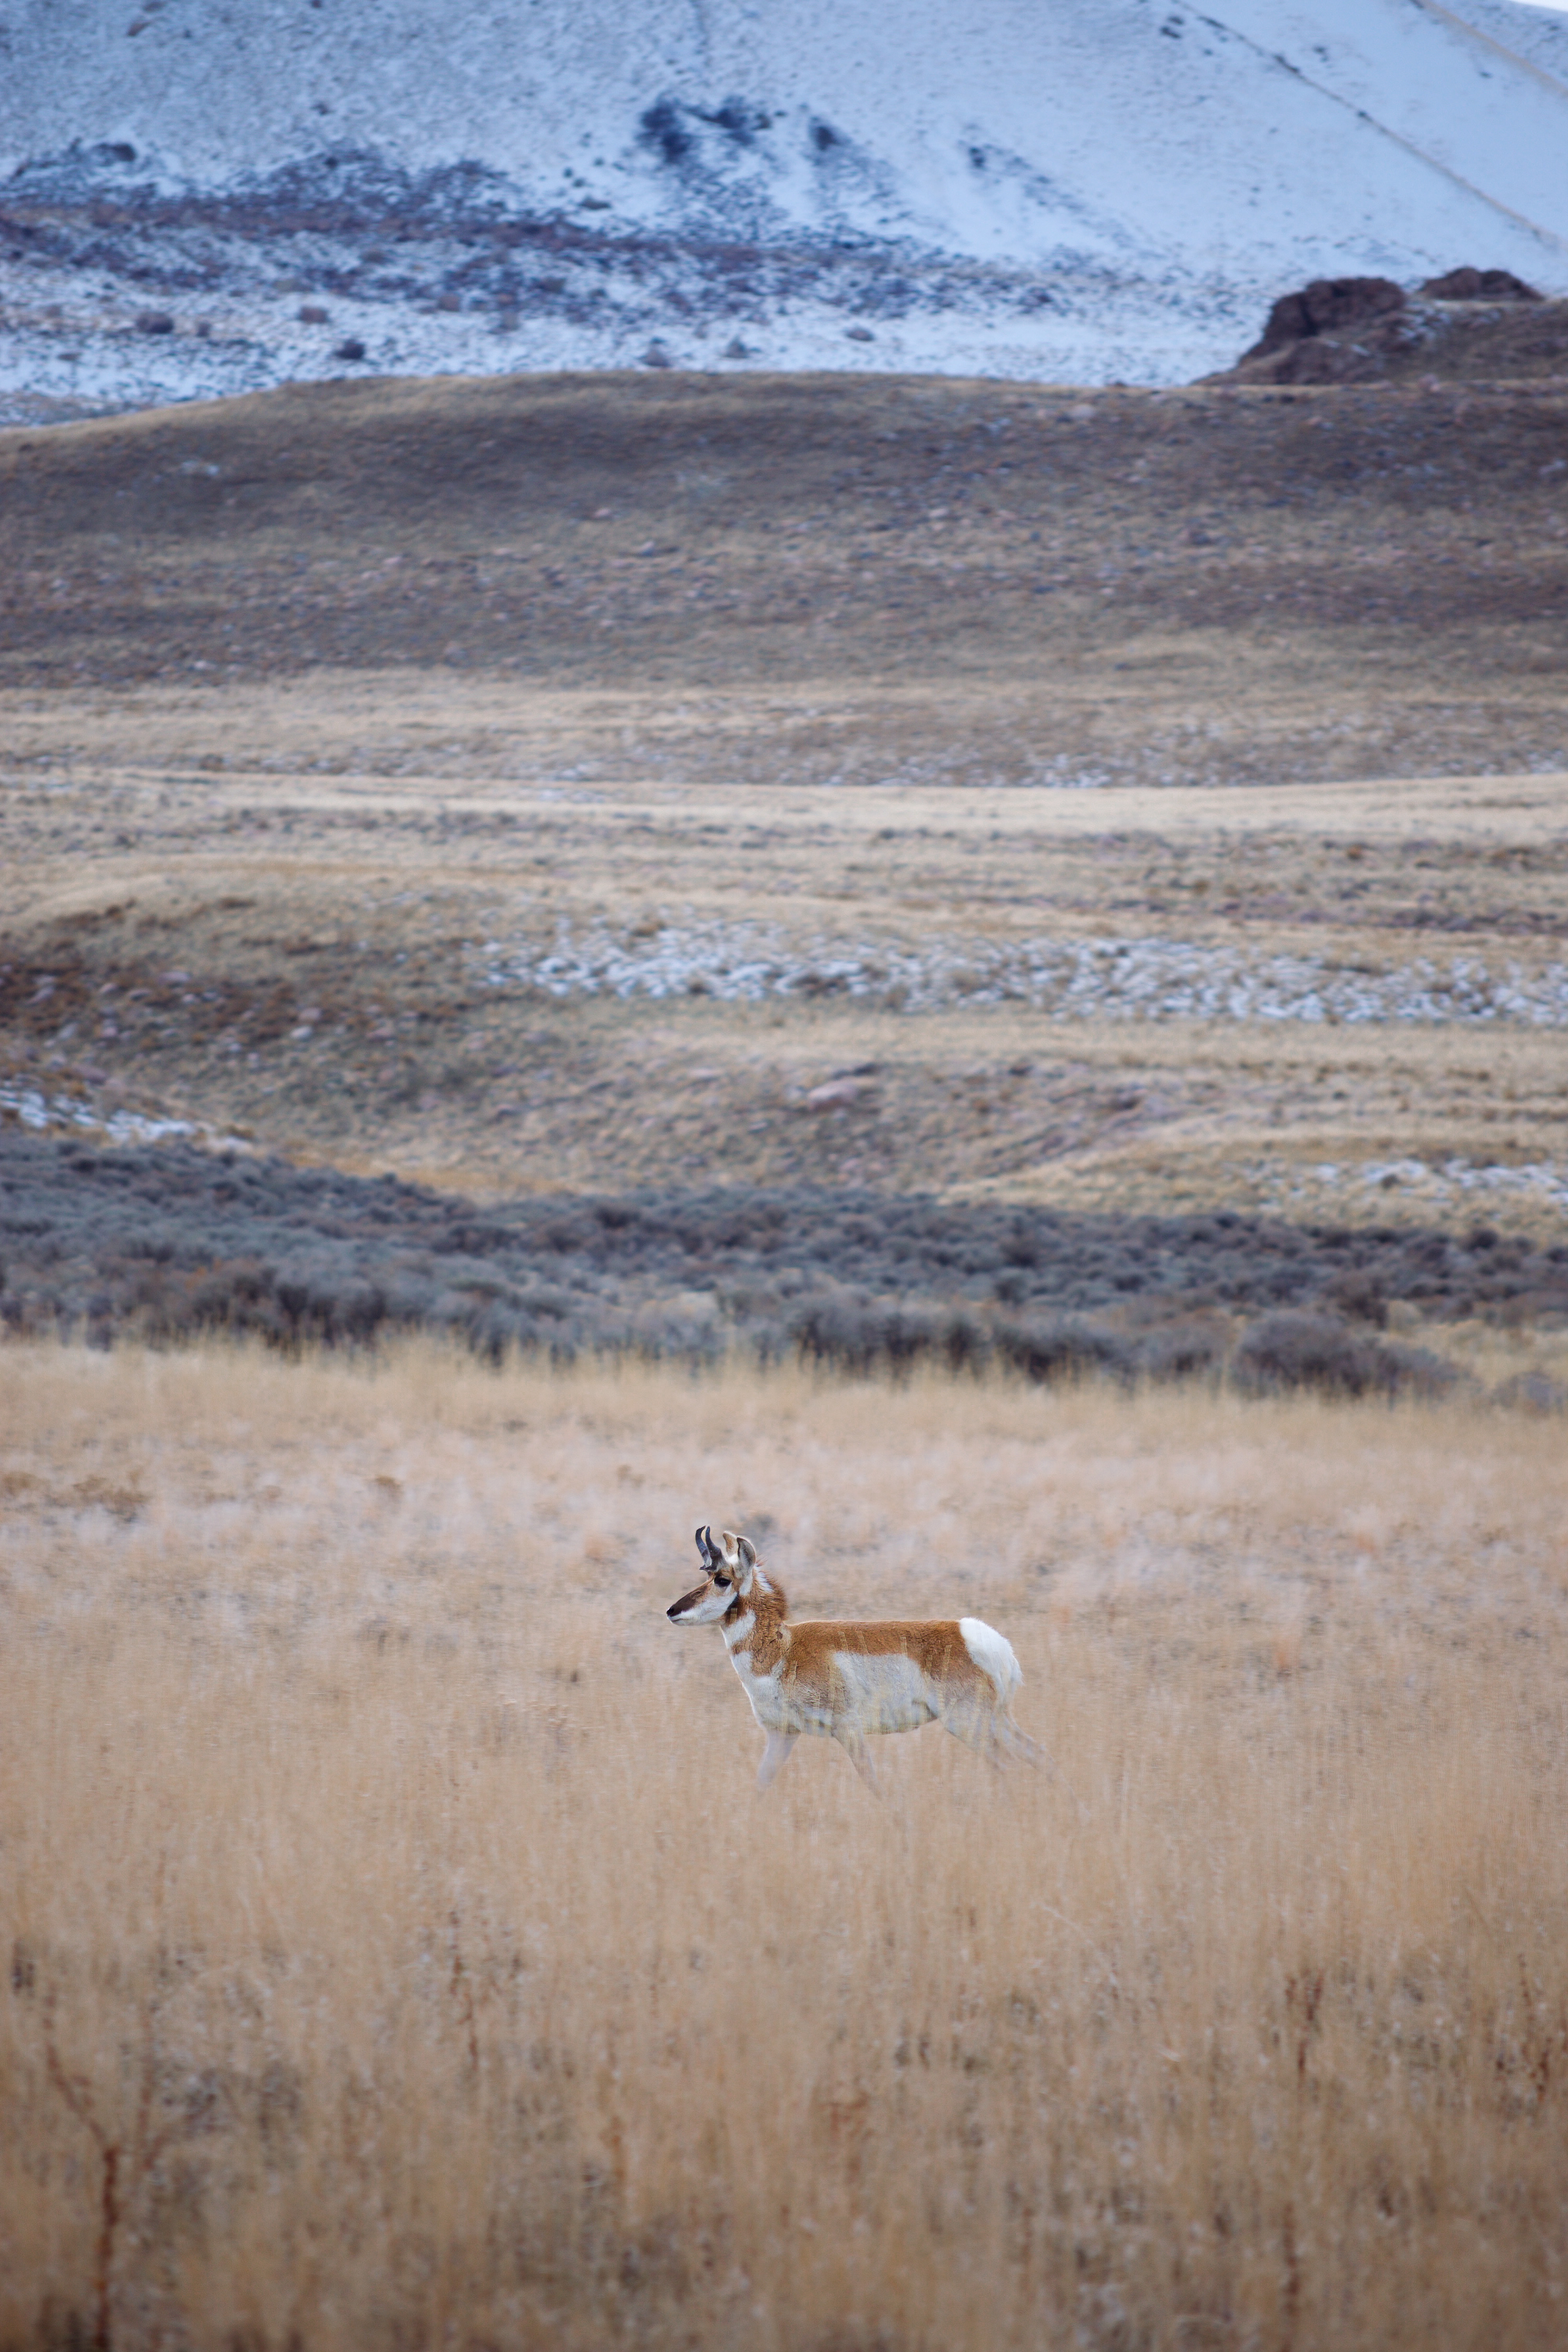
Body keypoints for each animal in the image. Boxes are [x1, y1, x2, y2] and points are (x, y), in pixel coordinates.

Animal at [666, 1523, 1039, 1790]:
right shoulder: (782, 1735)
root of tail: (979, 1638)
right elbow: (760, 1785)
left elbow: (874, 1784)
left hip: (967, 1725)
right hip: (996, 1721)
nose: (672, 1611)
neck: (785, 1649)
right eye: (705, 1575)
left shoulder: (848, 1730)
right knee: (1040, 1757)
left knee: (1009, 1767)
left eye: (722, 1579)